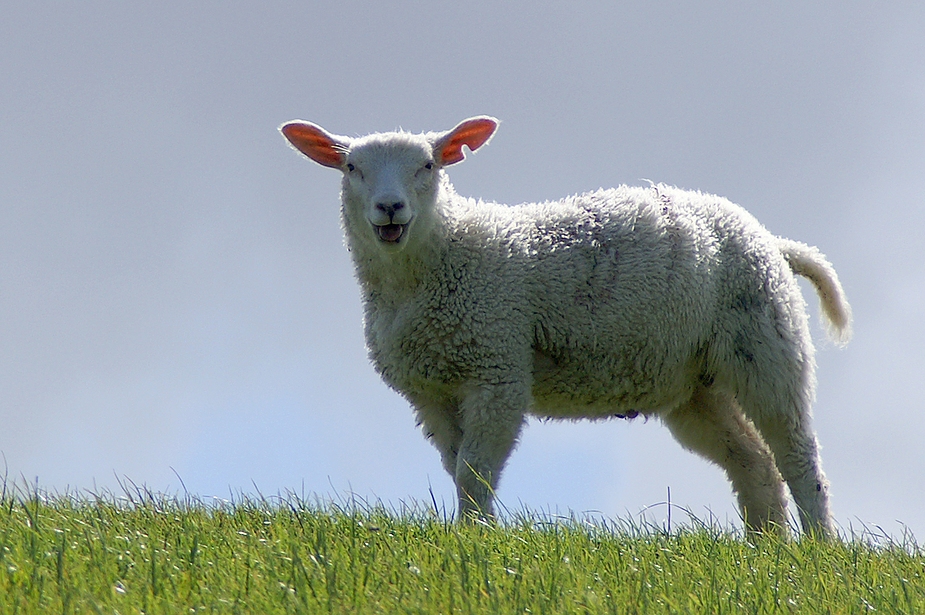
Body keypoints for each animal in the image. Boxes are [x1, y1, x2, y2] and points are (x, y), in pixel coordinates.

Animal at [282, 116, 852, 540]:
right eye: (351, 167)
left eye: (428, 165)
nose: (389, 208)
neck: (440, 260)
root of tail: (772, 241)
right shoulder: (431, 391)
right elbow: (456, 466)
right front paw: (469, 534)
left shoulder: (498, 367)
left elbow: (475, 471)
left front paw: (476, 540)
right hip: (696, 384)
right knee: (754, 463)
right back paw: (766, 551)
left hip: (767, 341)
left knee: (799, 458)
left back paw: (818, 551)